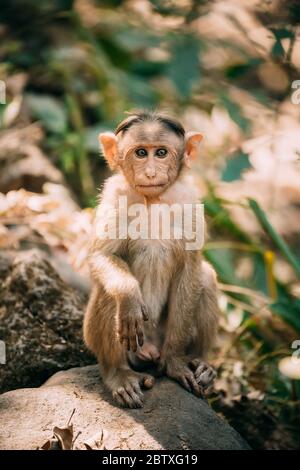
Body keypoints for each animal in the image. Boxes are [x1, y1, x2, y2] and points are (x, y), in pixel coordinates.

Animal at [83, 111, 219, 408]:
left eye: (161, 153)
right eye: (141, 153)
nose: (151, 172)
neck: (153, 199)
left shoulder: (190, 203)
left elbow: (191, 268)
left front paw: (175, 363)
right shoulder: (114, 194)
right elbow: (102, 255)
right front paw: (129, 296)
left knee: (205, 277)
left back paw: (199, 361)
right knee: (110, 294)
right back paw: (118, 374)